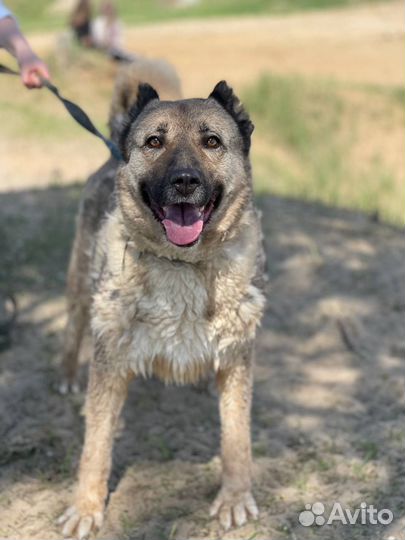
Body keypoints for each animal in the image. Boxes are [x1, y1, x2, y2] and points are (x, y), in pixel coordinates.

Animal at [57, 74, 266, 536]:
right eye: (154, 141)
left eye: (212, 141)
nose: (185, 181)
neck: (181, 264)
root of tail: (110, 151)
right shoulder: (111, 365)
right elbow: (95, 446)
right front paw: (86, 507)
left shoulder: (238, 359)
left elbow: (237, 438)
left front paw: (235, 498)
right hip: (79, 284)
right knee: (74, 326)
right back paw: (66, 376)